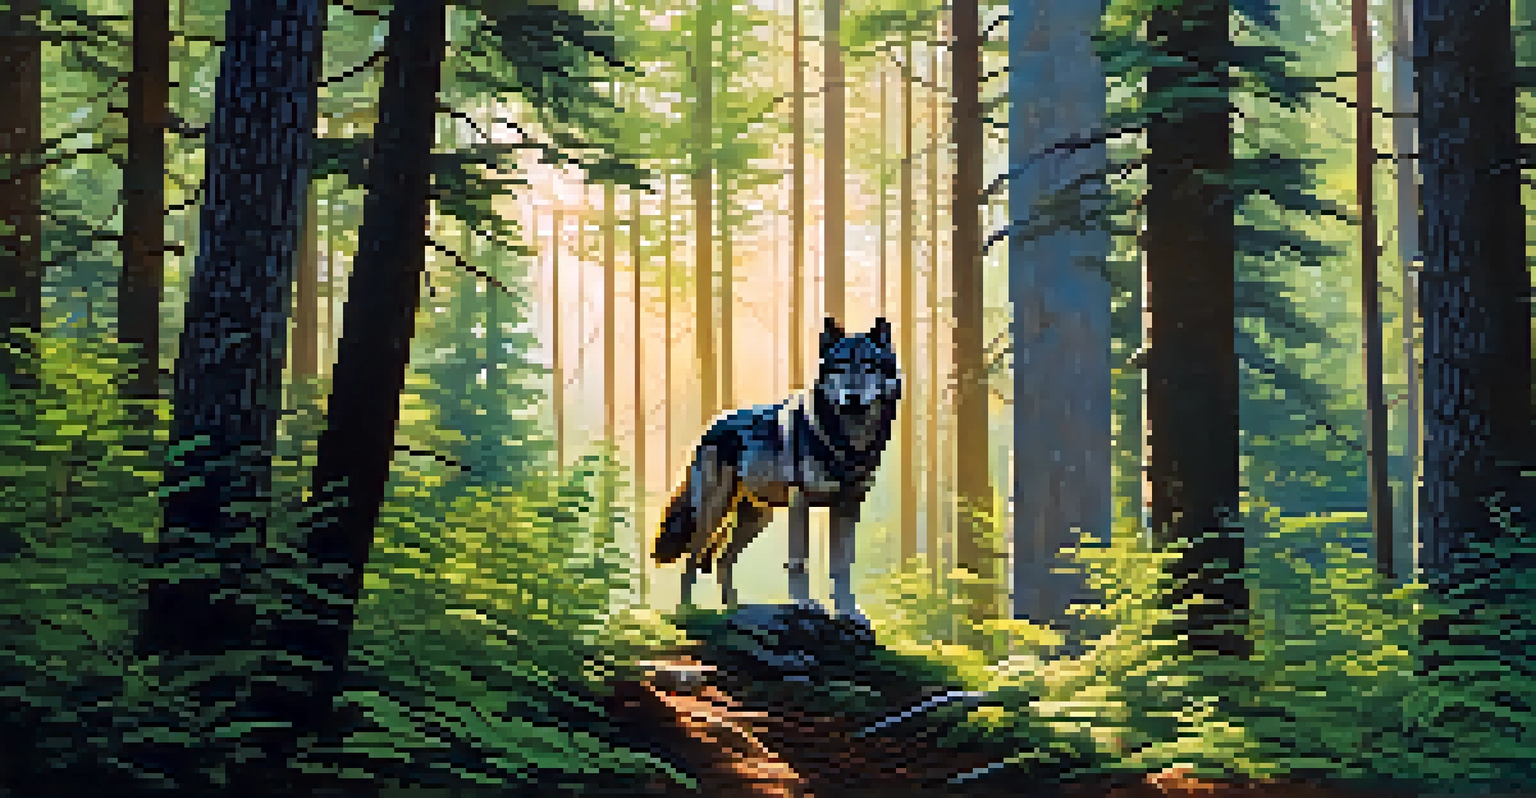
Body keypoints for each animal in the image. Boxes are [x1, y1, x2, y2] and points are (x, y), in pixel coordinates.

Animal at [653, 316, 902, 618]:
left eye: (869, 365)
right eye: (841, 366)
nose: (852, 397)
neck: (848, 445)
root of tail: (710, 426)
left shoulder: (849, 505)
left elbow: (842, 565)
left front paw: (849, 612)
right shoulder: (801, 501)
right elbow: (798, 560)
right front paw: (805, 604)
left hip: (757, 518)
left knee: (723, 558)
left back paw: (734, 608)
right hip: (713, 513)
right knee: (692, 558)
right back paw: (686, 610)